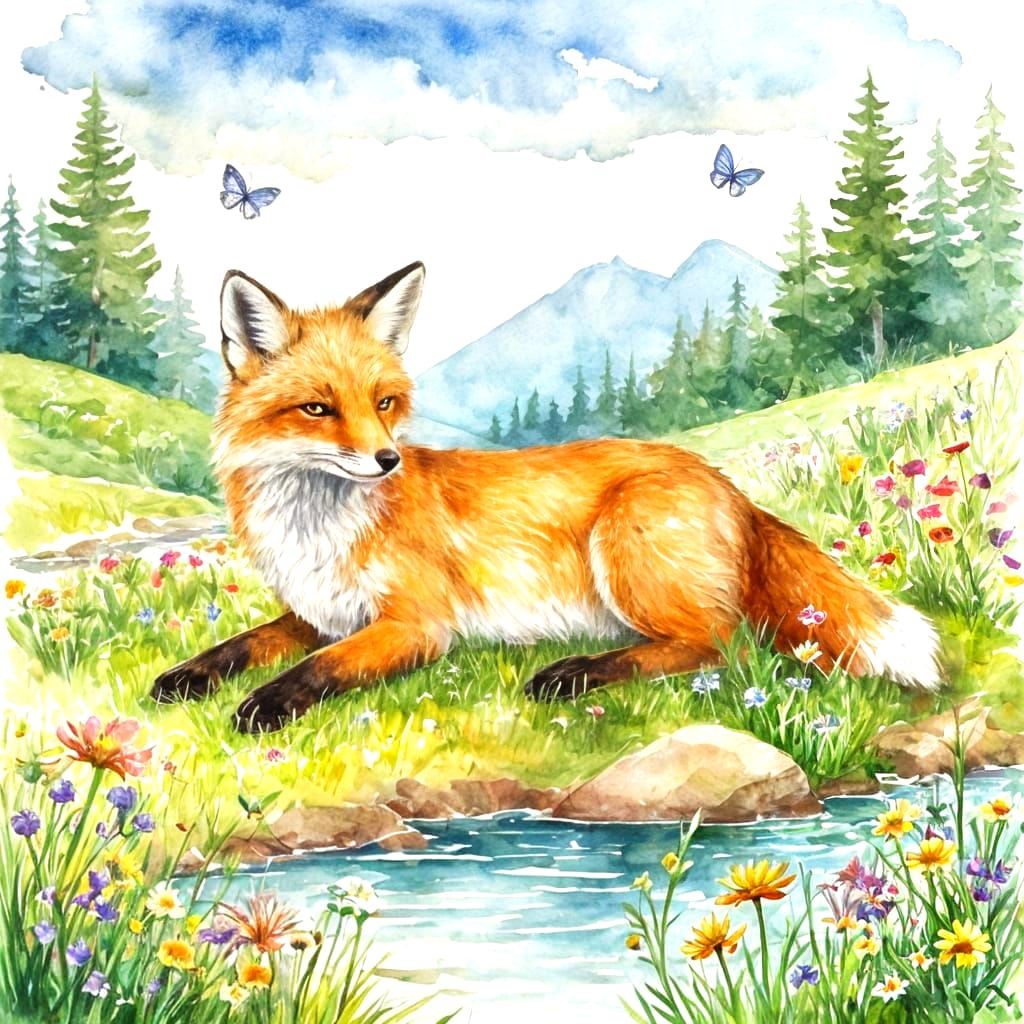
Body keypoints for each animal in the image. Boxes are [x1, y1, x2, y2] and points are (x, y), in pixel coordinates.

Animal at [151, 260, 941, 732]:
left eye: (383, 403)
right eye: (318, 409)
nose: (387, 459)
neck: (315, 527)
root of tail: (727, 484)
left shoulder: (415, 625)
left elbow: (316, 670)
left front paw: (264, 704)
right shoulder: (321, 613)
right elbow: (244, 643)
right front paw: (186, 677)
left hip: (625, 548)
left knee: (718, 646)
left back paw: (572, 675)